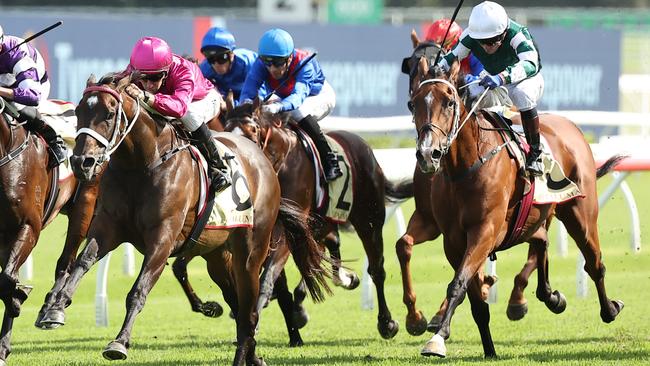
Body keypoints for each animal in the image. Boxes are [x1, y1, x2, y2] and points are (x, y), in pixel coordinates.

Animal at [37, 74, 326, 366]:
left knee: (249, 310)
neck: (141, 165)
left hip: (250, 252)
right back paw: (254, 355)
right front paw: (55, 308)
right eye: (79, 113)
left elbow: (138, 290)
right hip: (217, 255)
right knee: (238, 306)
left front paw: (119, 343)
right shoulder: (108, 227)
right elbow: (82, 262)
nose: (81, 162)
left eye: (109, 114)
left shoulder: (162, 238)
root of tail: (263, 160)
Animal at [404, 57, 624, 358]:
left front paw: (437, 338)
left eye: (449, 102)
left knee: (594, 263)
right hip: (537, 217)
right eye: (413, 103)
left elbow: (458, 283)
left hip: (581, 215)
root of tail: (571, 127)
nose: (428, 154)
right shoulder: (453, 240)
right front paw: (488, 349)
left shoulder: (484, 231)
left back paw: (610, 308)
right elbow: (474, 300)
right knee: (542, 242)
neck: (465, 166)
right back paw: (551, 297)